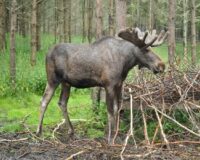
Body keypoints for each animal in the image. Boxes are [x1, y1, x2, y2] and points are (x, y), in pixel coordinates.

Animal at [36, 28, 168, 144]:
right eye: (146, 50)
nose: (161, 65)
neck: (125, 63)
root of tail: (47, 54)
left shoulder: (119, 85)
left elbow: (117, 109)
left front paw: (116, 135)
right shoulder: (108, 84)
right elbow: (110, 111)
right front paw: (110, 137)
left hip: (66, 83)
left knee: (62, 102)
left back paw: (72, 132)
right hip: (53, 80)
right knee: (44, 101)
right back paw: (39, 132)